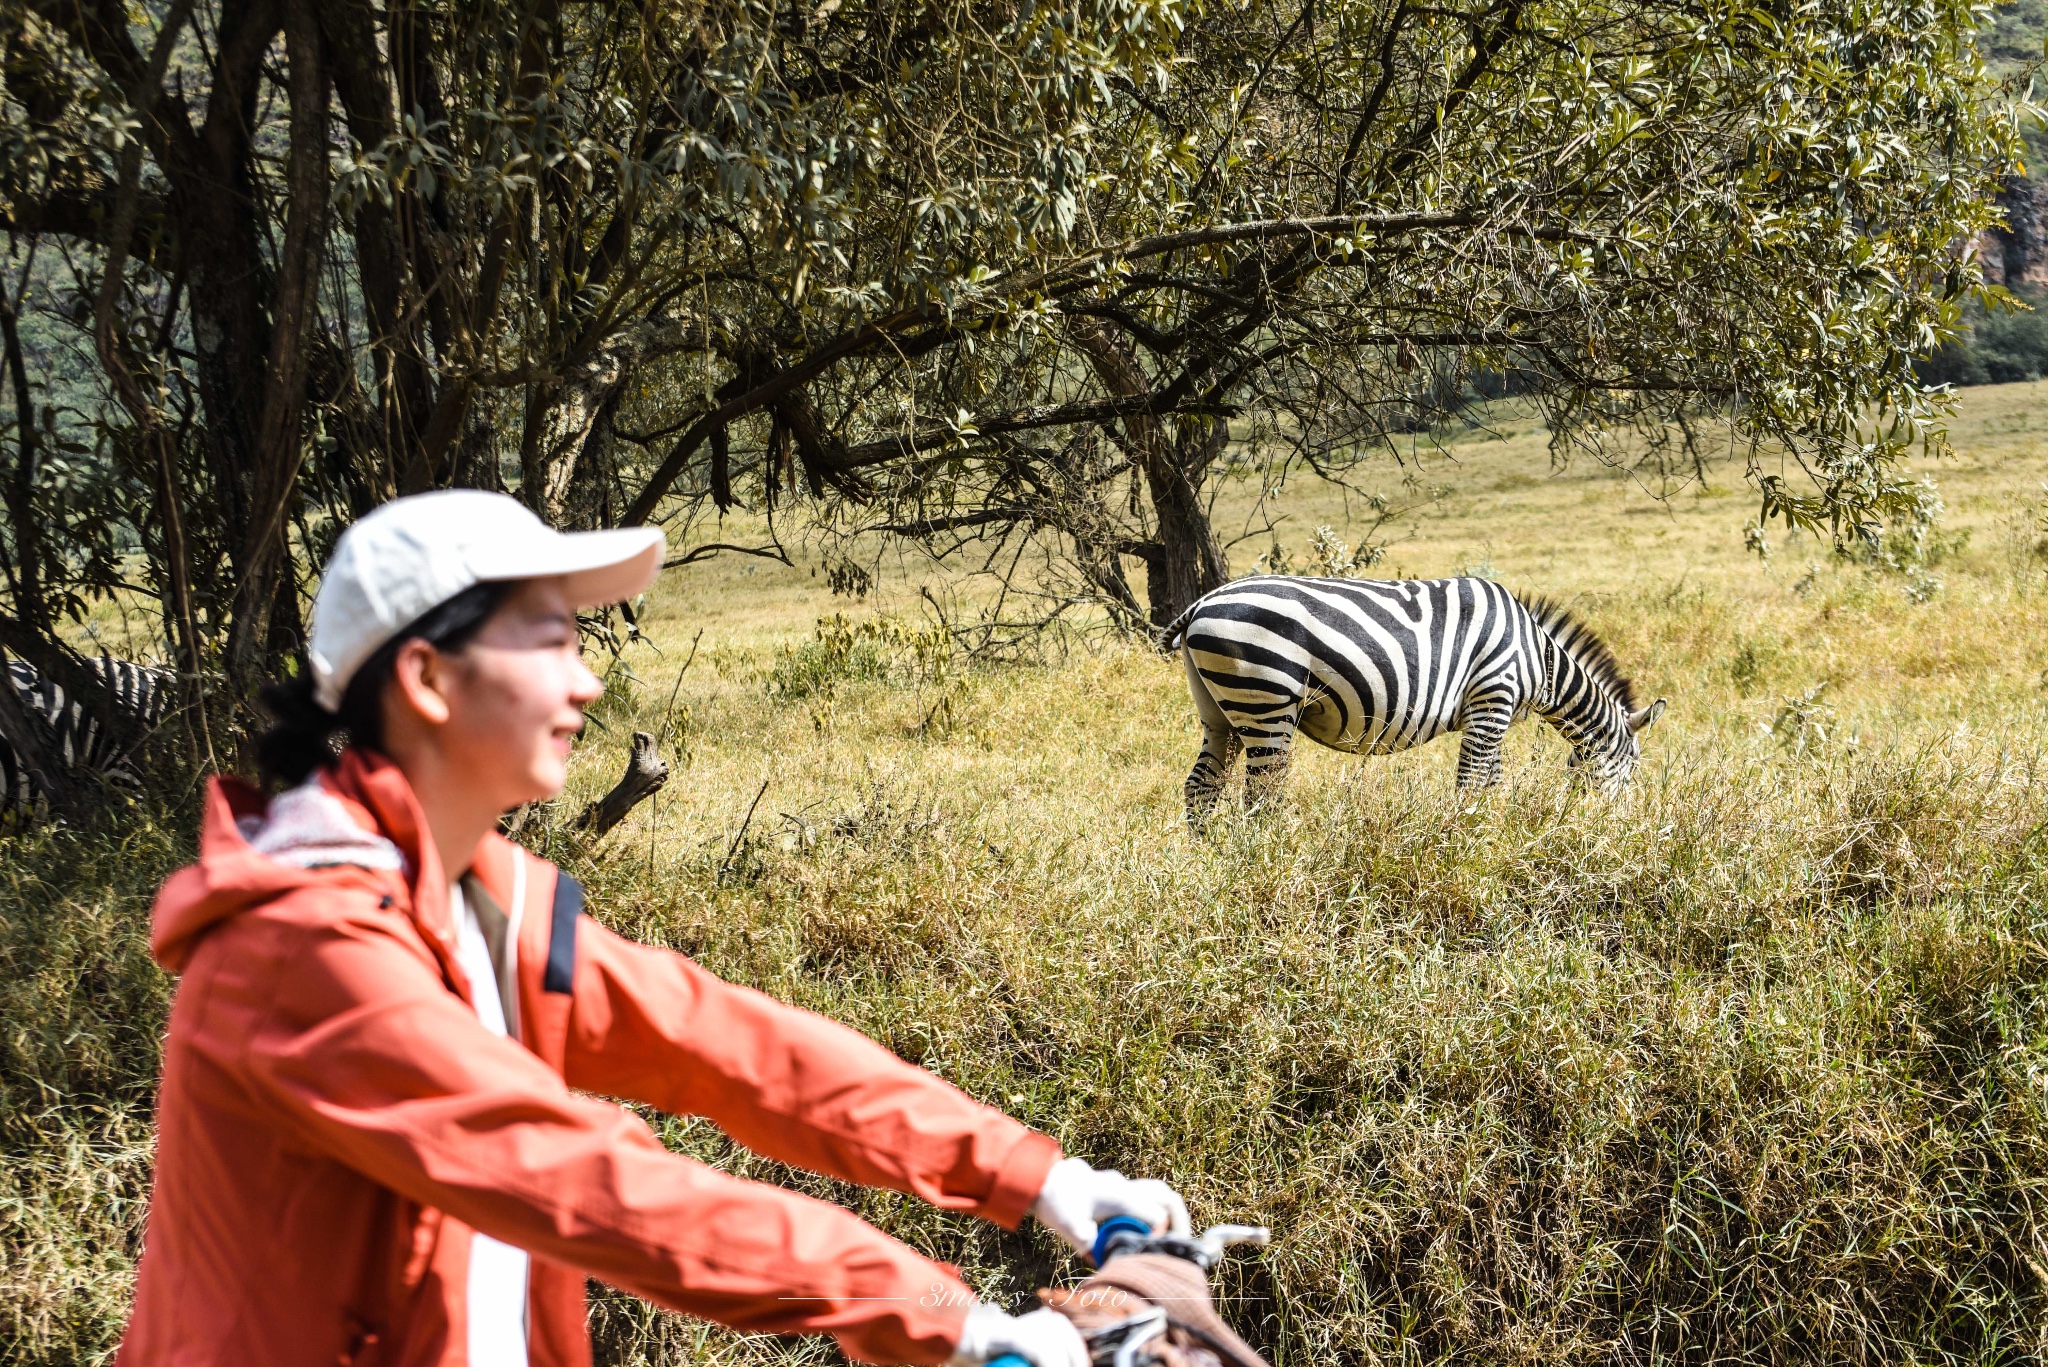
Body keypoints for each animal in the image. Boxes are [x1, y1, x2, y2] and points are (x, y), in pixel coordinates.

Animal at [1171, 573, 1662, 819]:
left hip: (1221, 710)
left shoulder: (1492, 712)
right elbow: (1470, 785)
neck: (1539, 660)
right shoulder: (1492, 699)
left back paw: (1212, 863)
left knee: (1200, 786)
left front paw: (1491, 833)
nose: (1624, 825)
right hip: (1266, 698)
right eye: (1635, 765)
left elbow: (1491, 784)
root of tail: (1200, 603)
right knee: (1262, 798)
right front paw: (1462, 844)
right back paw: (1269, 863)